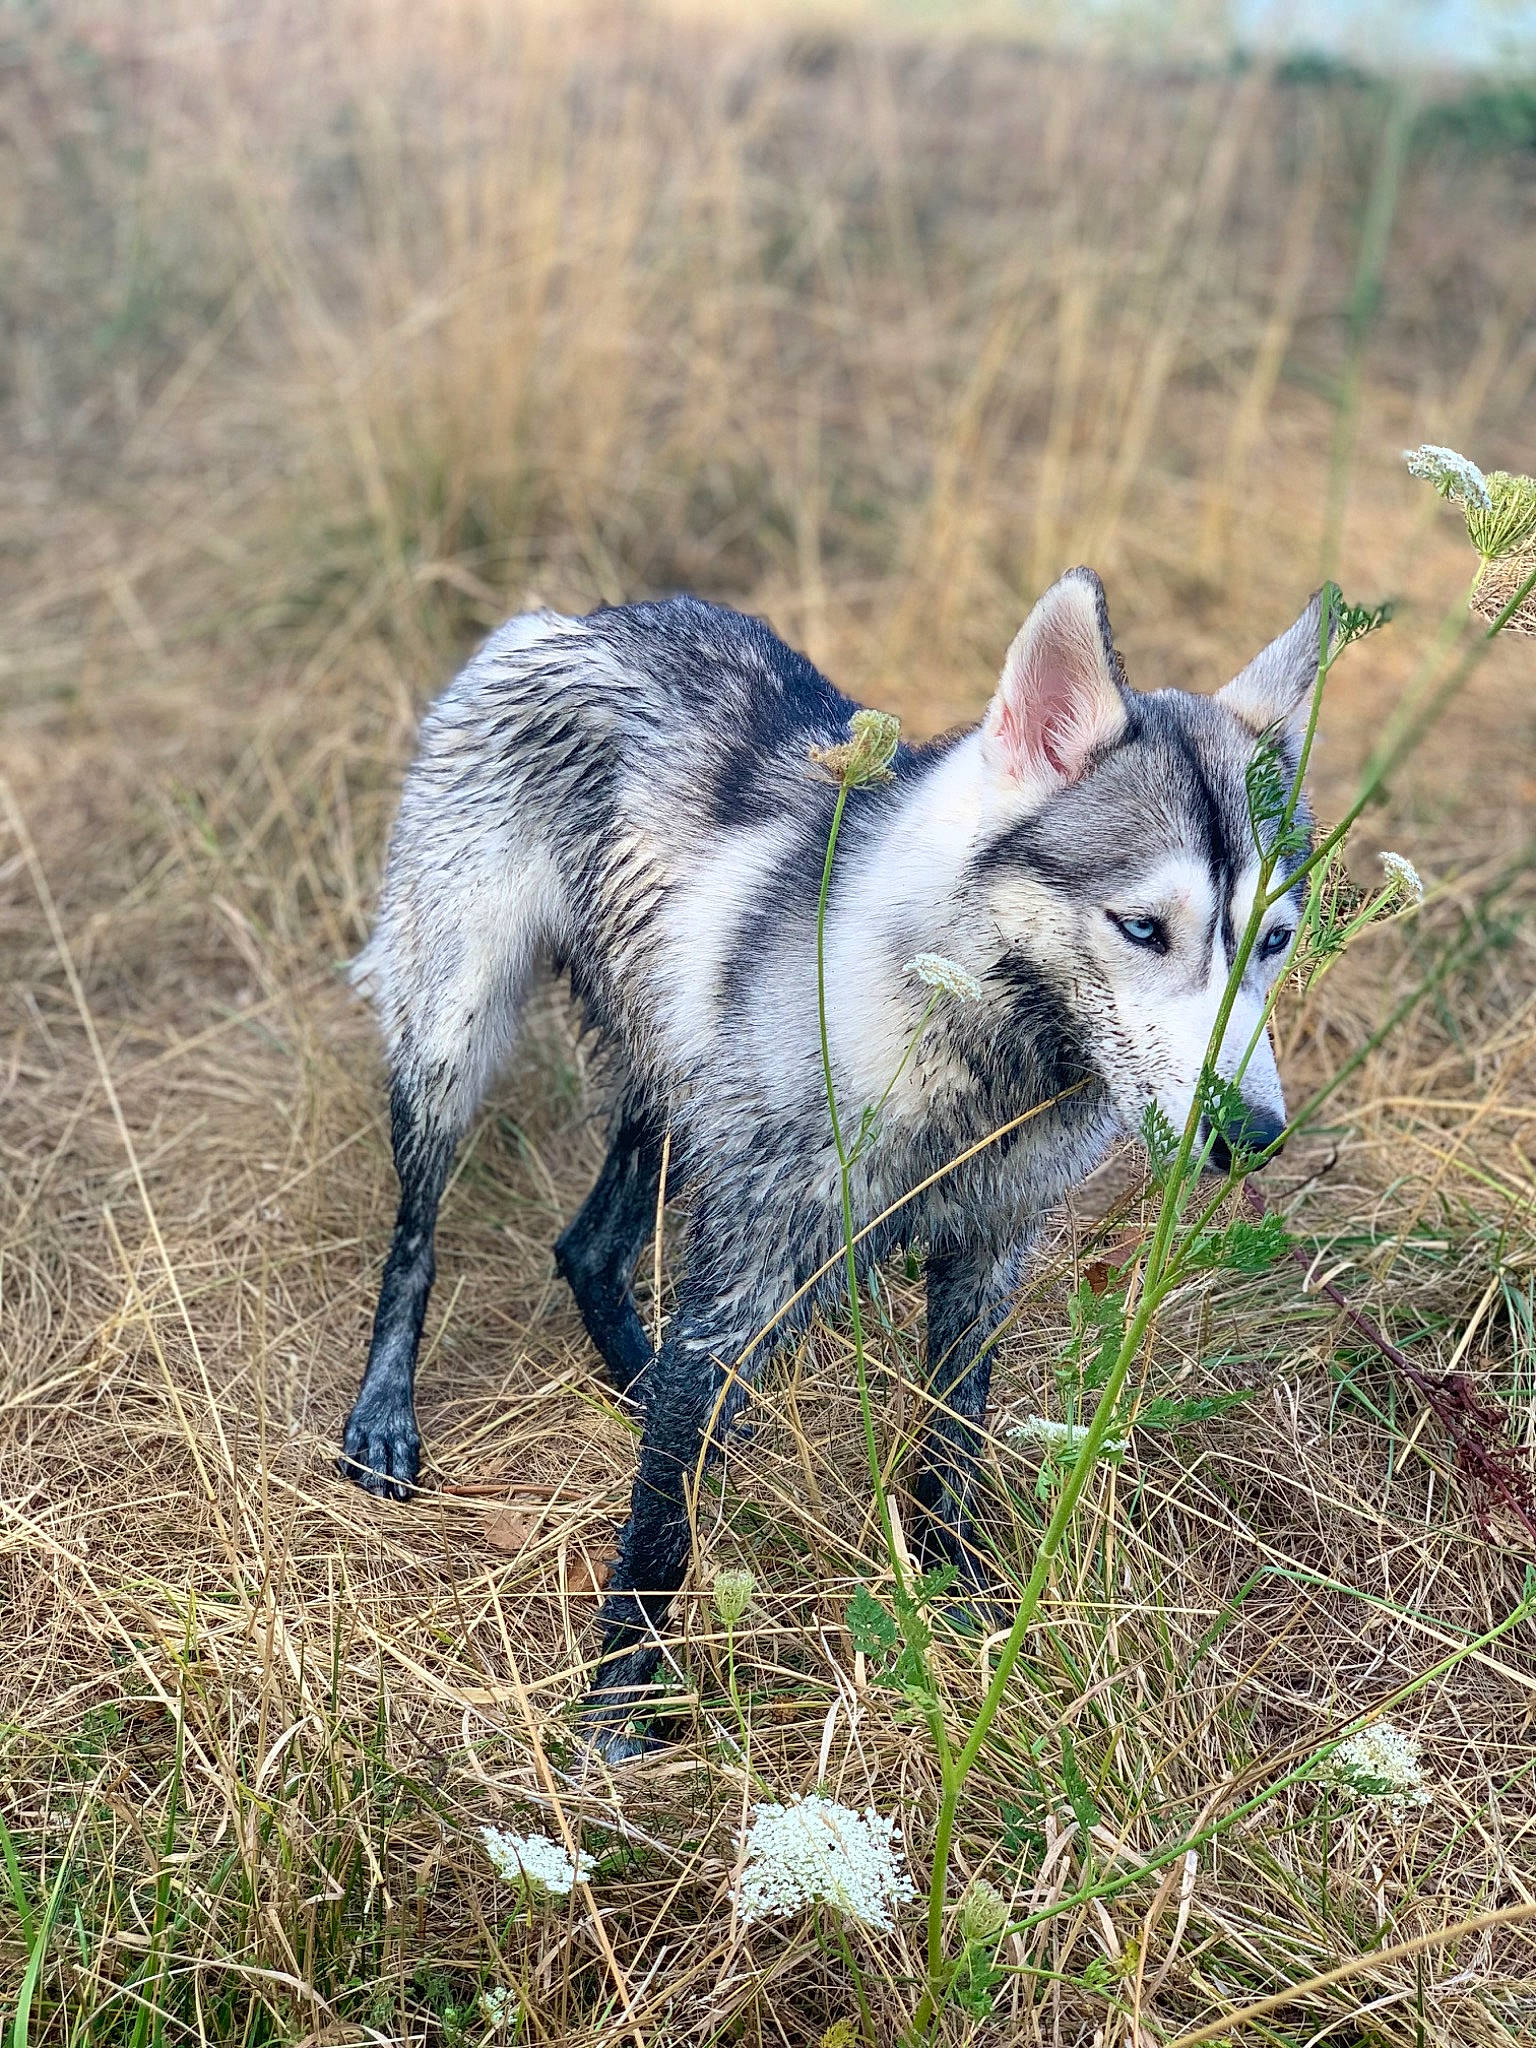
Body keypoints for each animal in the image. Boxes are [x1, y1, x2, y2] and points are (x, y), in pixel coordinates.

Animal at [339, 566, 1321, 1756]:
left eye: (1275, 940)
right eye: (1141, 928)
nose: (1251, 1136)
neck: (988, 1045)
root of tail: (570, 617)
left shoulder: (982, 1265)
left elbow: (949, 1453)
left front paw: (957, 1607)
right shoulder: (748, 1274)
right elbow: (659, 1534)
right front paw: (624, 1701)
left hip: (673, 1086)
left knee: (589, 1248)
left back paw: (651, 1380)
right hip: (456, 1035)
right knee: (418, 1239)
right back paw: (386, 1413)